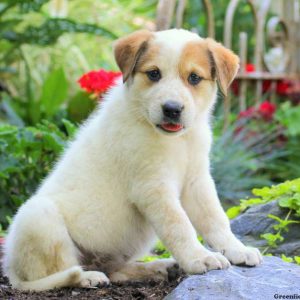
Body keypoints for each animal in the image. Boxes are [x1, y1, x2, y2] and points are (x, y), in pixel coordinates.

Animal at [1, 28, 260, 290]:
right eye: (154, 74)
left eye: (194, 78)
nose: (172, 109)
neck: (175, 140)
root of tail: (11, 269)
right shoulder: (153, 187)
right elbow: (179, 225)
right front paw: (199, 258)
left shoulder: (197, 180)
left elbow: (216, 219)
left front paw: (237, 250)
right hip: (39, 217)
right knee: (61, 271)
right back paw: (88, 277)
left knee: (115, 271)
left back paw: (157, 268)